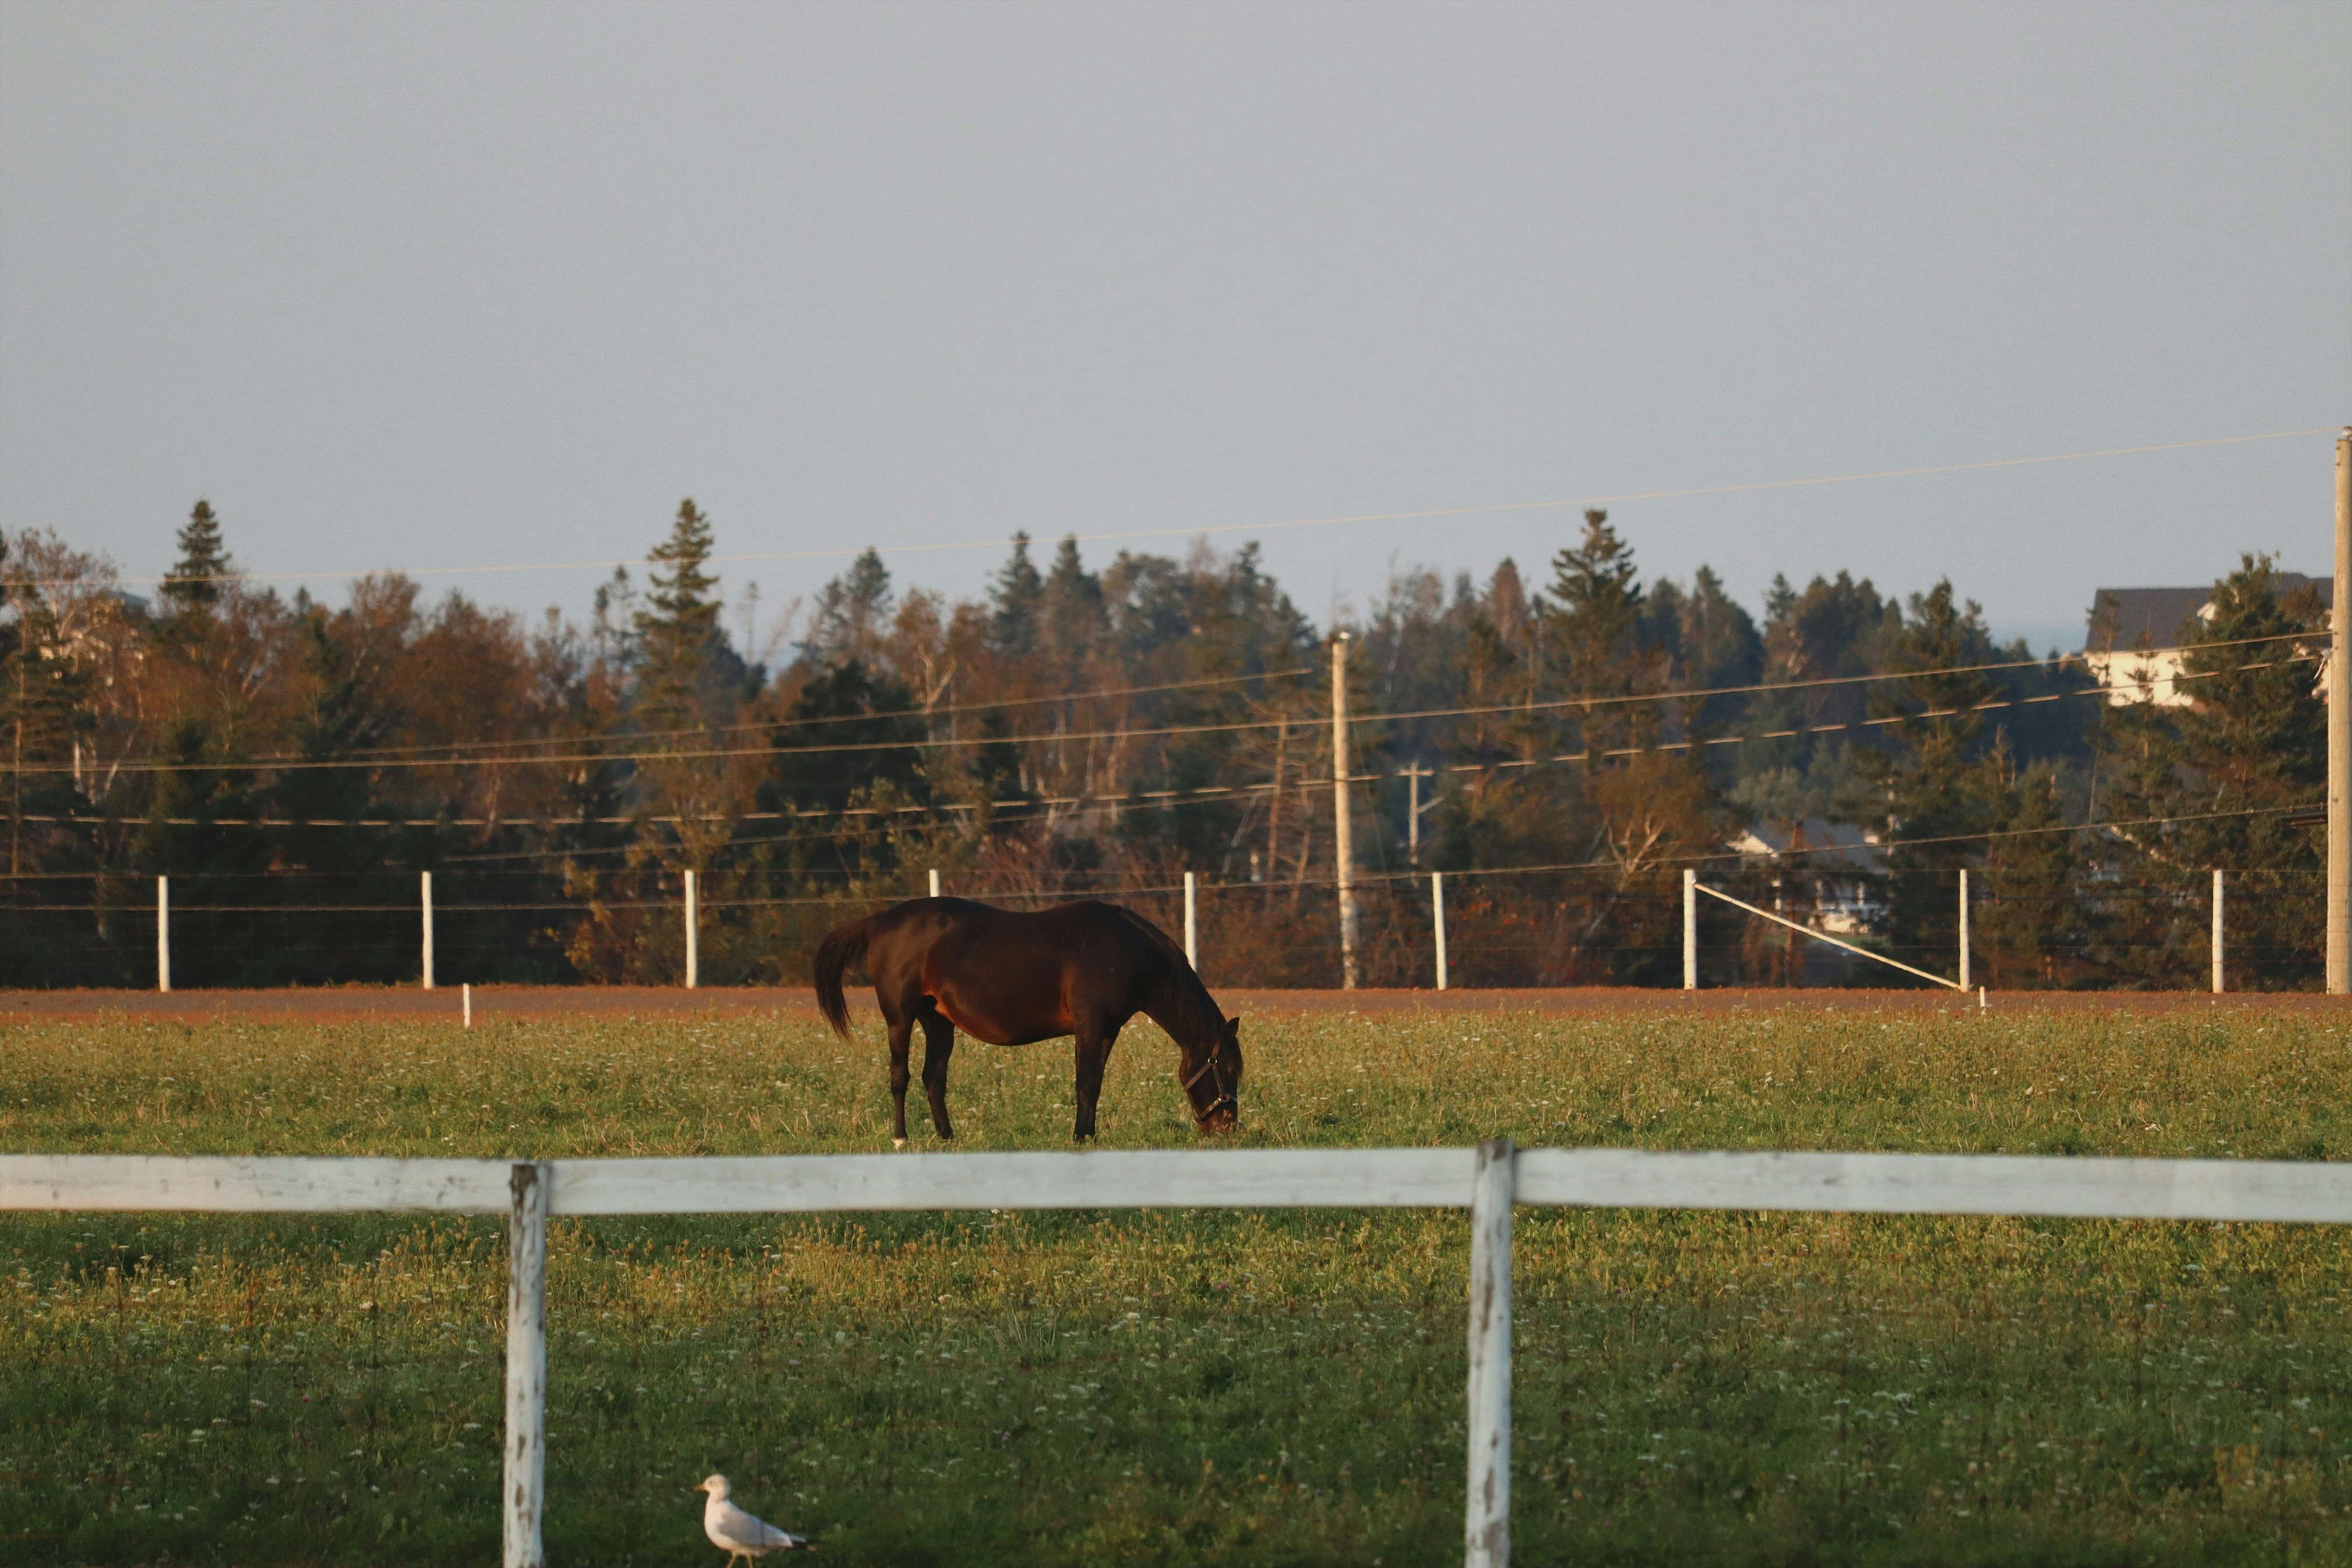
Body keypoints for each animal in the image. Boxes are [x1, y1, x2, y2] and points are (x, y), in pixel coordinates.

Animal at [812, 897, 1242, 1144]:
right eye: (1227, 1068)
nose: (1226, 1126)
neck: (1127, 950)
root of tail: (879, 921)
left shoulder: (1107, 1031)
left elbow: (1095, 1087)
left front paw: (1089, 1135)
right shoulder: (1089, 1027)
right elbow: (1085, 1085)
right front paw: (1080, 1138)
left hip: (938, 1022)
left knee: (933, 1078)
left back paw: (948, 1137)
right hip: (899, 1018)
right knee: (899, 1078)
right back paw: (901, 1138)